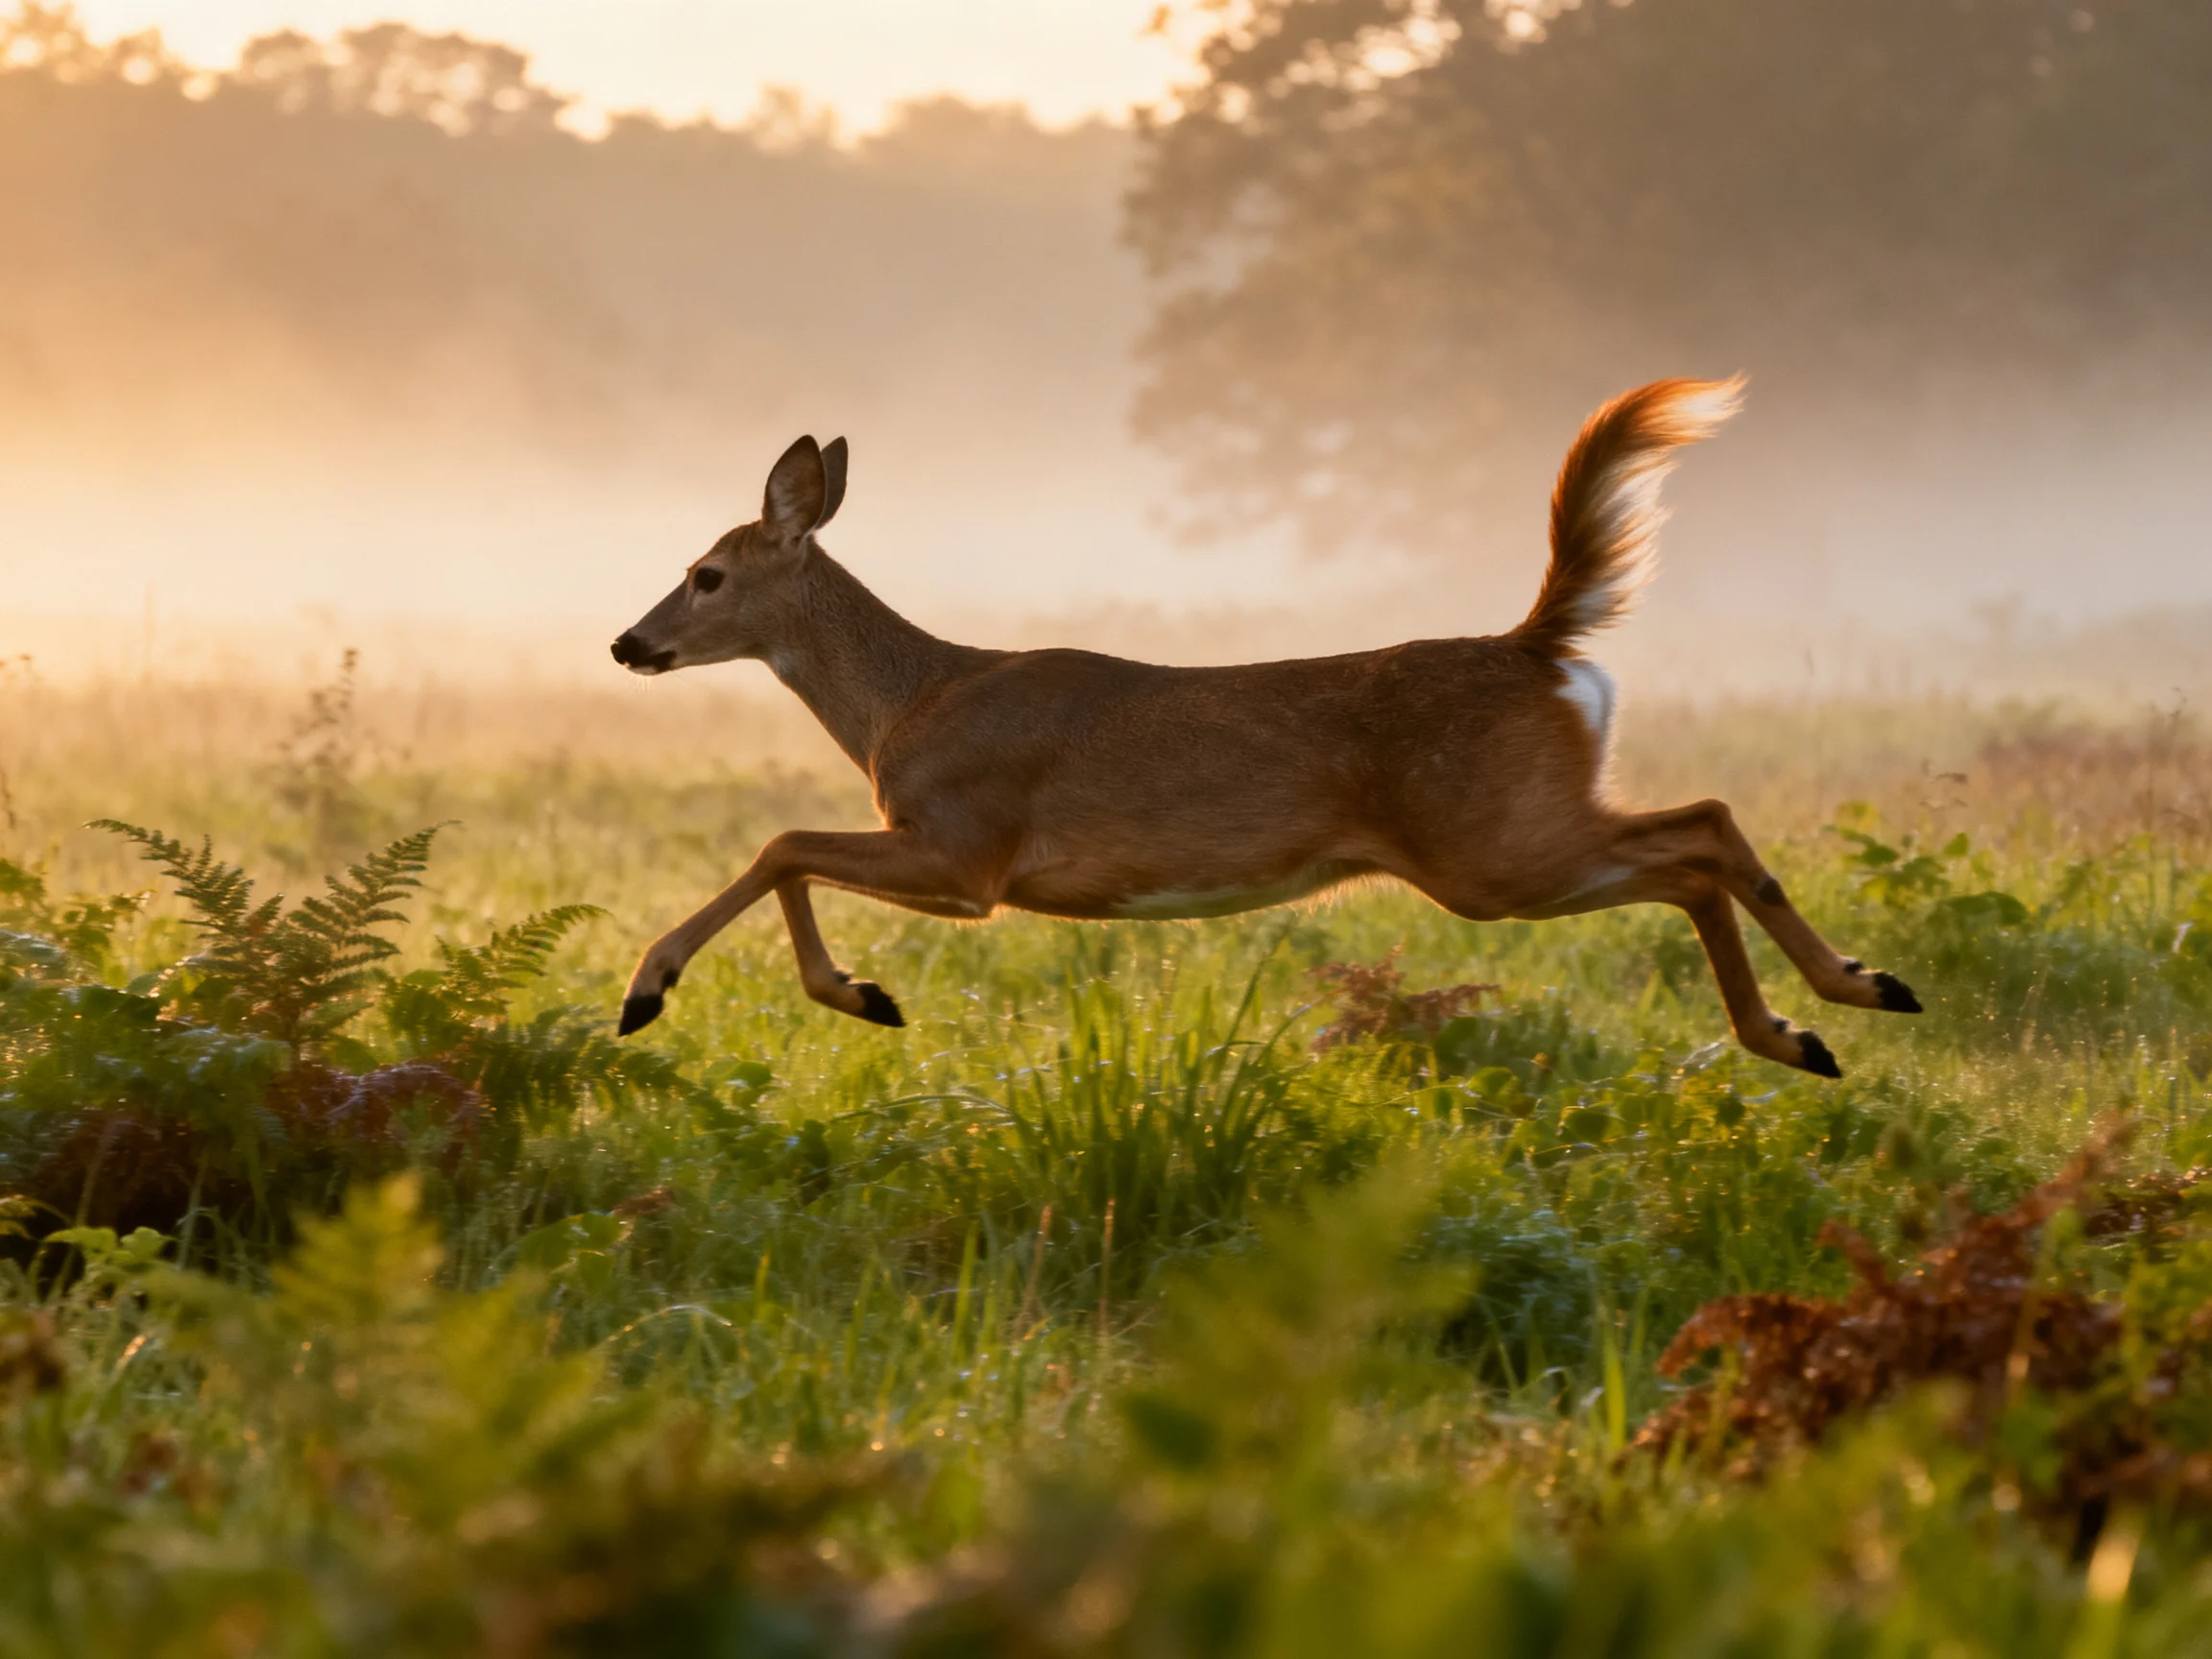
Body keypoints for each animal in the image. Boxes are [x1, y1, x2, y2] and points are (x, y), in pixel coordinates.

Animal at [608, 378, 1921, 1075]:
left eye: (707, 574)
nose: (629, 644)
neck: (907, 704)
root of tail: (1536, 648)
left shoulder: (969, 851)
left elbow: (781, 844)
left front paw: (658, 990)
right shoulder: (961, 858)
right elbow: (788, 853)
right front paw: (860, 992)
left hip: (1493, 848)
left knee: (1698, 832)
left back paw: (1826, 1010)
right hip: (1513, 838)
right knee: (1703, 835)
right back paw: (1836, 1007)